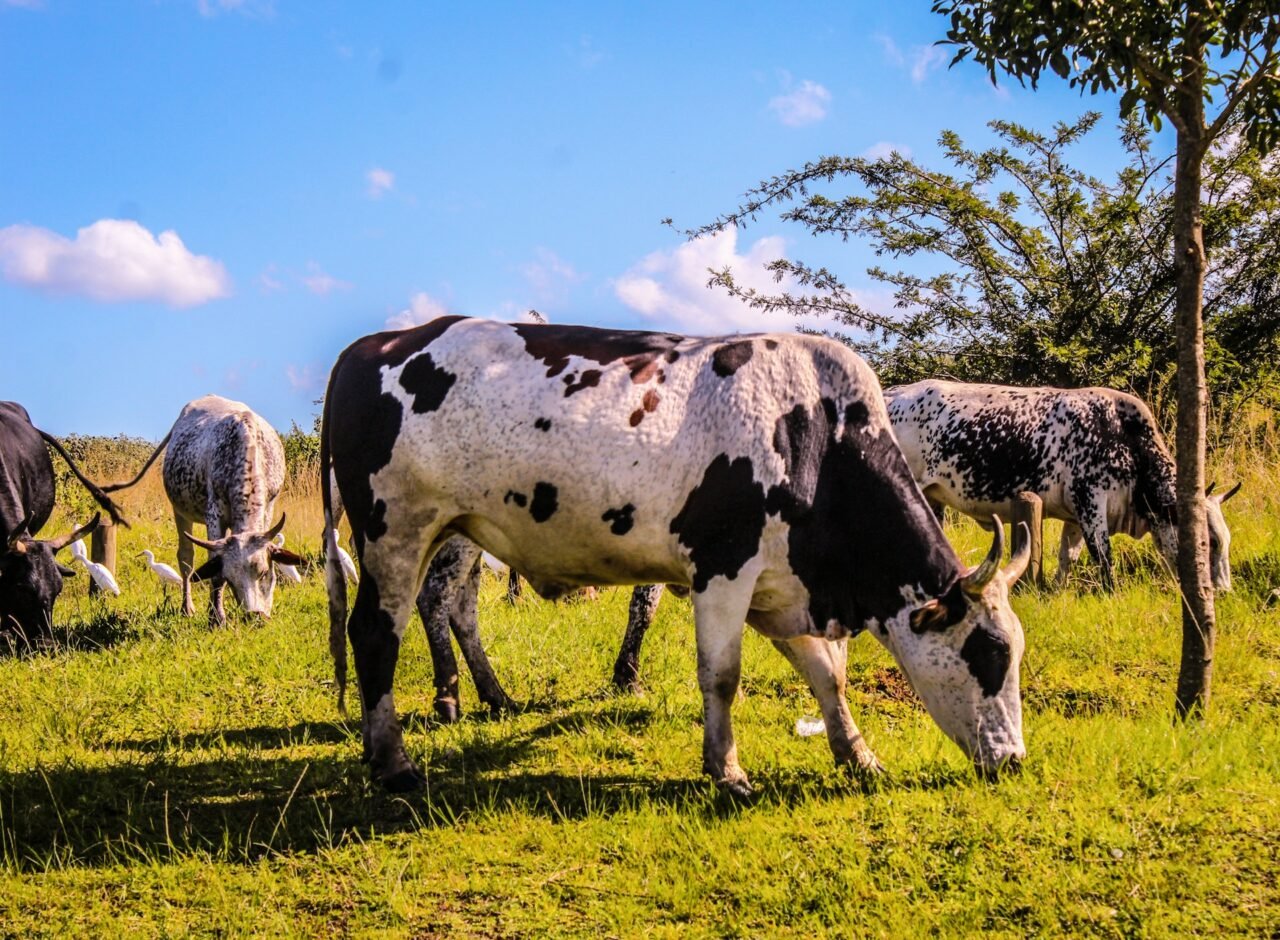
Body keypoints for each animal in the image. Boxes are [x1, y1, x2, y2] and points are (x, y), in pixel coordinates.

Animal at [111, 395, 304, 624]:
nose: (254, 615)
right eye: (230, 579)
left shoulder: (268, 508)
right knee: (186, 559)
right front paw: (216, 617)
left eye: (264, 572)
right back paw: (187, 607)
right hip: (180, 512)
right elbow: (214, 568)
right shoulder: (214, 514)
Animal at [322, 317, 1031, 795]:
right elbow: (722, 676)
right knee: (377, 632)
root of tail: (375, 344)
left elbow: (826, 674)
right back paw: (393, 761)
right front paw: (728, 771)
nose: (1015, 759)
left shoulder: (780, 587)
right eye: (990, 654)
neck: (814, 434)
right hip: (394, 533)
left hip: (447, 532)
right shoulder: (723, 572)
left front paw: (857, 755)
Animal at [884, 380, 1239, 592]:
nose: (1223, 591)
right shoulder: (1091, 502)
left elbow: (1069, 555)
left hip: (932, 498)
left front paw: (1057, 589)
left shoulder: (1075, 516)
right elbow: (1103, 556)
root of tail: (890, 393)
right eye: (1208, 542)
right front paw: (1111, 593)